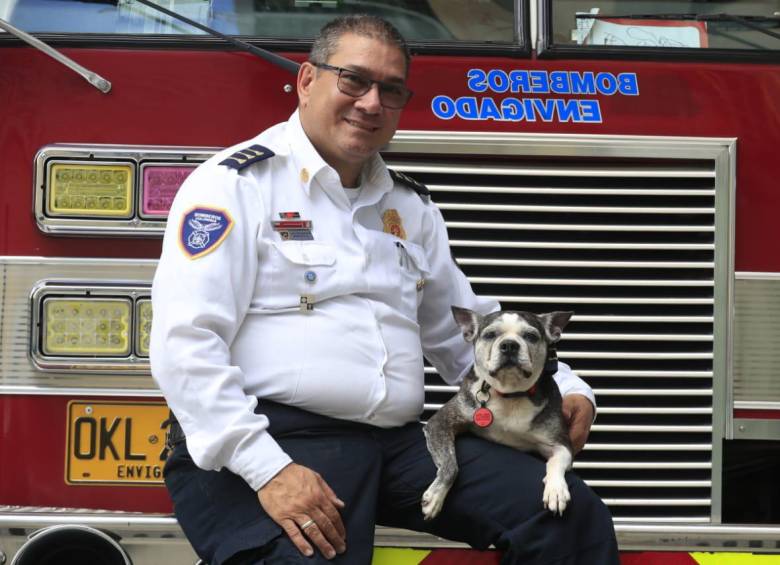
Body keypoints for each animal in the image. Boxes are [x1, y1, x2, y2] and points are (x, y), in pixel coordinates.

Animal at [424, 308, 576, 520]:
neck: (510, 394)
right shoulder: (440, 423)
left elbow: (556, 462)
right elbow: (450, 464)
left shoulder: (561, 443)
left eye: (531, 336)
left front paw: (556, 490)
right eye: (490, 335)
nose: (509, 345)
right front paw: (436, 496)